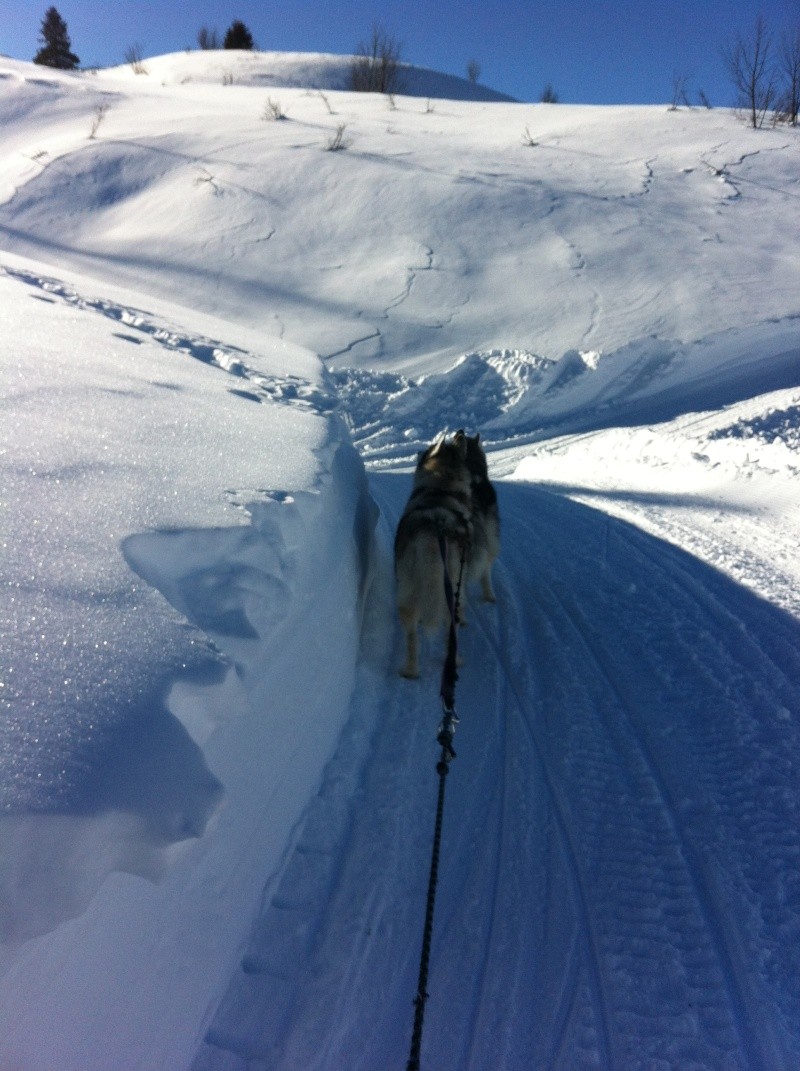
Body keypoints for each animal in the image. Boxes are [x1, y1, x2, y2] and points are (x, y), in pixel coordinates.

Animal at [396, 428, 475, 672]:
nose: (460, 432)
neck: (439, 492)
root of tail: (433, 529)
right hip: (452, 592)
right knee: (451, 629)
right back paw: (455, 661)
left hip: (407, 590)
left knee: (411, 633)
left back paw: (410, 671)